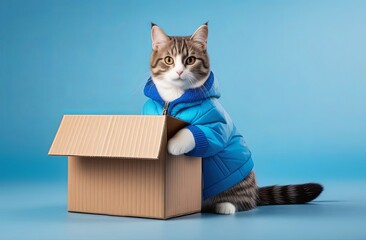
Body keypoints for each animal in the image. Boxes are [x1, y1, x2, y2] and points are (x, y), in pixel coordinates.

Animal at [143, 22, 324, 214]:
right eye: (168, 60)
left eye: (190, 60)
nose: (179, 71)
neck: (173, 98)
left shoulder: (216, 122)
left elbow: (197, 132)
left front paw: (173, 144)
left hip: (237, 178)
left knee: (246, 202)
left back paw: (225, 206)